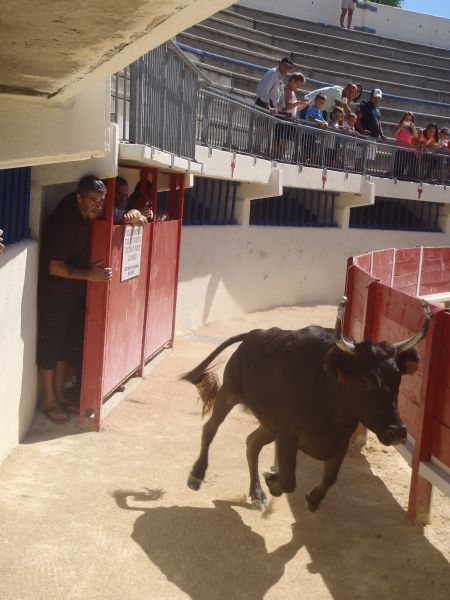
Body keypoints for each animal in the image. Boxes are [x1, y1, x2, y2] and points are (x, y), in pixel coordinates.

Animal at [181, 298, 430, 510]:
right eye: (363, 381)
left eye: (398, 379)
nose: (397, 432)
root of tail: (254, 334)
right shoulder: (287, 436)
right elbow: (289, 480)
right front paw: (273, 481)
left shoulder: (340, 439)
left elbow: (330, 477)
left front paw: (312, 498)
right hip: (230, 392)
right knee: (210, 428)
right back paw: (197, 475)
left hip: (269, 424)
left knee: (252, 443)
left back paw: (257, 494)